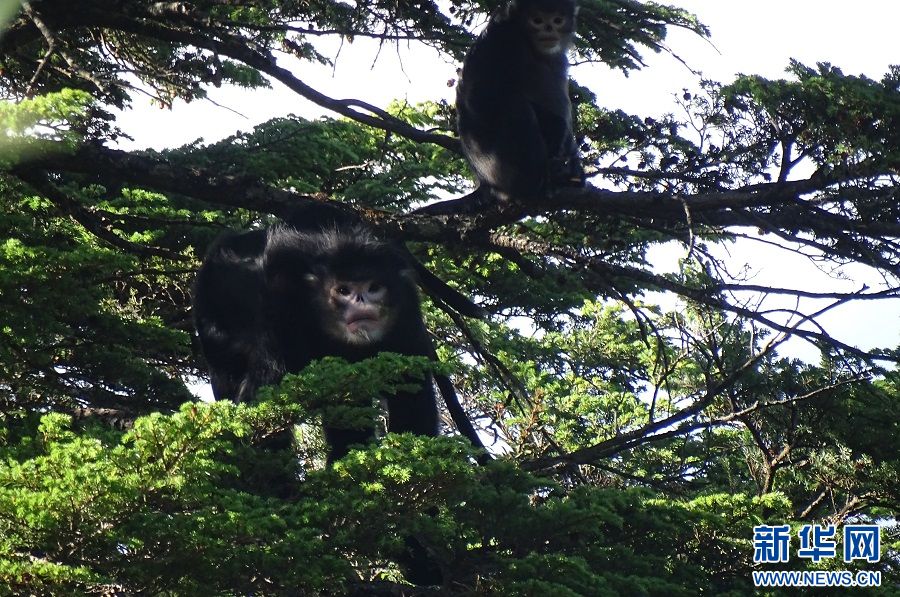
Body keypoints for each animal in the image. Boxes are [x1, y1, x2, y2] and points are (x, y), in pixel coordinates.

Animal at [458, 0, 584, 201]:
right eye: (537, 20)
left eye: (557, 20)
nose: (548, 29)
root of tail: (486, 183)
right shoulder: (504, 40)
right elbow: (482, 97)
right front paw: (556, 126)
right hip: (500, 168)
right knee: (515, 105)